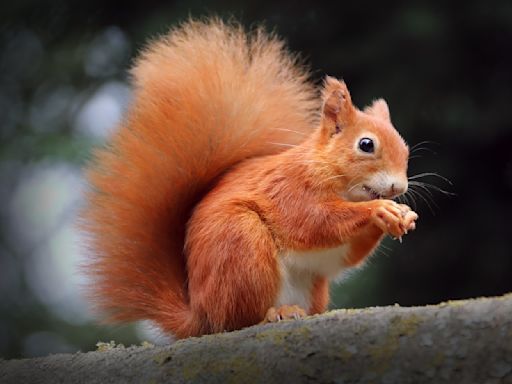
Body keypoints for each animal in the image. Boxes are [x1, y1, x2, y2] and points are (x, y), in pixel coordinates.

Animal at [83, 20, 416, 340]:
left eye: (406, 149)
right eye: (366, 144)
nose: (399, 187)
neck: (331, 175)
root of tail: (201, 316)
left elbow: (343, 257)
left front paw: (401, 216)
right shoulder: (290, 189)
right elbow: (313, 222)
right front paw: (378, 210)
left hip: (311, 286)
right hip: (242, 244)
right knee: (239, 319)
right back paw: (275, 313)